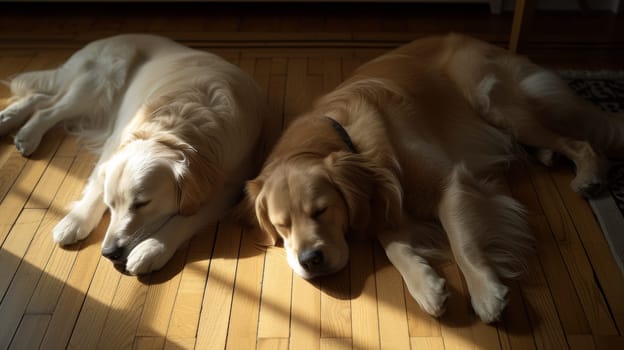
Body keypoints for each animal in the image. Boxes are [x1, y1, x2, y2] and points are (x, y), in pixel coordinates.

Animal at [0, 34, 264, 274]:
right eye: (111, 204)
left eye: (142, 203)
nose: (109, 253)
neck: (176, 127)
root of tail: (110, 38)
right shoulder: (114, 145)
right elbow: (96, 187)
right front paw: (75, 221)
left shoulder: (229, 187)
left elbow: (186, 218)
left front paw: (152, 249)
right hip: (100, 84)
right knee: (49, 107)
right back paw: (23, 131)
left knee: (43, 100)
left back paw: (15, 125)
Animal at [245, 33, 624, 322]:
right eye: (280, 226)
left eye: (321, 210)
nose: (310, 261)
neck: (346, 136)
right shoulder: (380, 200)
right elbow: (393, 246)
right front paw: (427, 286)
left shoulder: (449, 184)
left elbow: (463, 243)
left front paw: (485, 292)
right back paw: (546, 156)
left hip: (498, 106)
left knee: (580, 142)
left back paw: (588, 175)